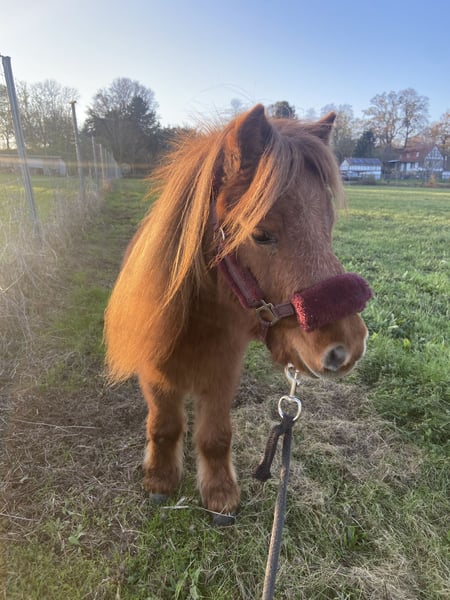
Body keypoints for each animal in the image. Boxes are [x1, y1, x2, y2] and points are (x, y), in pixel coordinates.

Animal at [104, 104, 372, 520]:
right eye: (260, 234)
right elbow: (164, 426)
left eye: (328, 225)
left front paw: (219, 493)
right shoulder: (157, 376)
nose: (347, 347)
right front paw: (161, 480)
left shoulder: (222, 376)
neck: (198, 324)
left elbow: (216, 436)